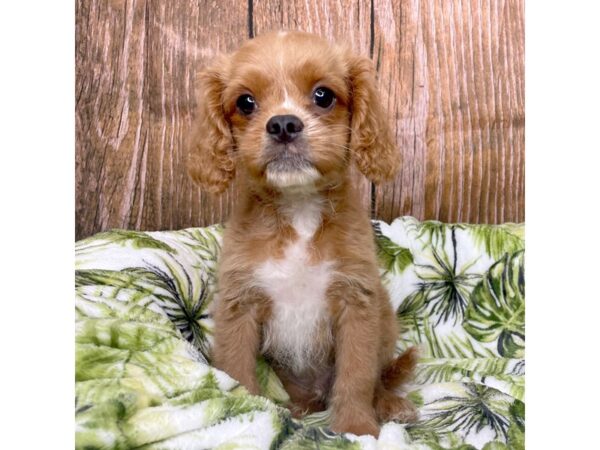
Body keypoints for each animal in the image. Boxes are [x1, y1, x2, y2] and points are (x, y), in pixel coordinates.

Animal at [188, 30, 418, 436]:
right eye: (245, 102)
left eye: (323, 95)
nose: (283, 124)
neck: (299, 212)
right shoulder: (239, 305)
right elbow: (235, 368)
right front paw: (247, 415)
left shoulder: (357, 305)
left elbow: (356, 376)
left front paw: (358, 429)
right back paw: (299, 407)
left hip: (385, 325)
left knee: (378, 379)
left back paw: (391, 404)